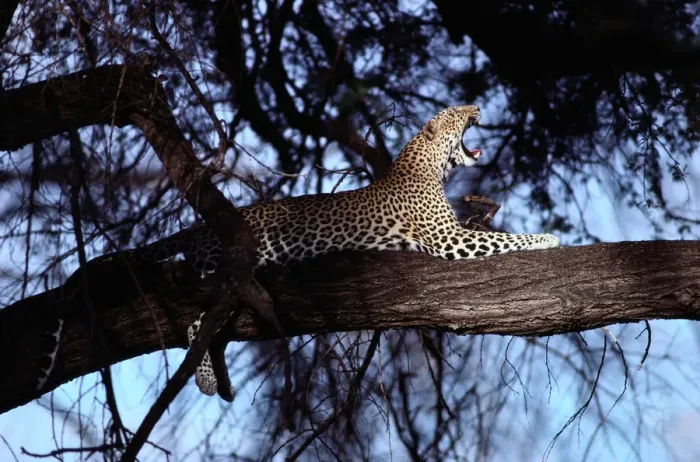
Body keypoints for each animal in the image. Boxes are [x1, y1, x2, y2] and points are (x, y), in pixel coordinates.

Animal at [34, 105, 560, 401]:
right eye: (455, 111)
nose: (476, 104)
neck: (429, 164)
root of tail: (198, 229)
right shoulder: (448, 239)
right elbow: (505, 239)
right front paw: (550, 238)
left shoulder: (454, 232)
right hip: (227, 272)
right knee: (194, 319)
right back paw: (208, 381)